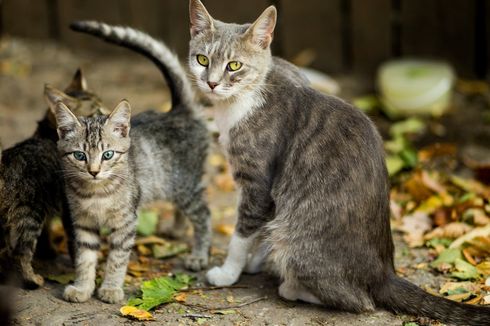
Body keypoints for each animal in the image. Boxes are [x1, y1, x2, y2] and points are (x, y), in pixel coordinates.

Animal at [0, 70, 107, 288]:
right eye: (98, 112)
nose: (109, 113)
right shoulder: (69, 208)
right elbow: (77, 244)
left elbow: (47, 232)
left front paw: (48, 251)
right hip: (29, 213)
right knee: (20, 253)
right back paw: (32, 279)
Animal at [53, 25, 211, 304]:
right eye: (80, 156)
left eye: (107, 155)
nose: (94, 172)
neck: (96, 193)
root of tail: (178, 111)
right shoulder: (82, 223)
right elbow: (85, 258)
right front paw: (82, 287)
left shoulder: (126, 221)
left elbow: (117, 258)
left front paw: (110, 288)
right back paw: (176, 230)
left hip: (185, 185)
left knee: (204, 215)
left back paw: (199, 255)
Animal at [189, 1, 490, 324]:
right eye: (202, 59)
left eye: (234, 66)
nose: (211, 83)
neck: (245, 97)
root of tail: (383, 273)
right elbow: (263, 227)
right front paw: (254, 260)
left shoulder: (257, 181)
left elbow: (243, 233)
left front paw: (228, 272)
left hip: (300, 243)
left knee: (359, 301)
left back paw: (292, 287)